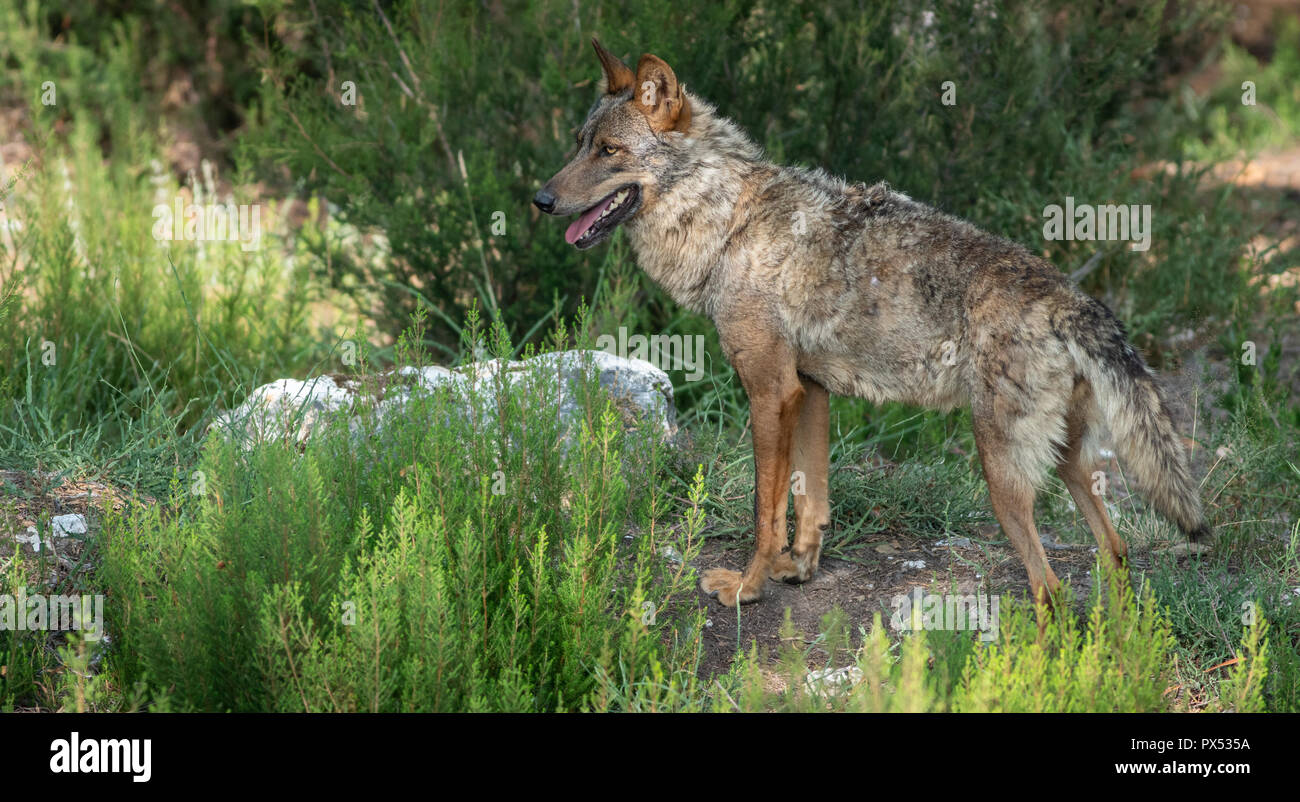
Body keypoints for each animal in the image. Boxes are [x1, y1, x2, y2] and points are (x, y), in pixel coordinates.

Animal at [534, 39, 1211, 608]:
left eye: (608, 152)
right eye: (578, 143)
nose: (540, 200)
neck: (729, 222)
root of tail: (1072, 301)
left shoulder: (770, 392)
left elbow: (763, 512)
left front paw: (748, 587)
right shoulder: (808, 390)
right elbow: (808, 501)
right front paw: (798, 570)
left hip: (1002, 477)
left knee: (1049, 590)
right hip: (1069, 466)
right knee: (1115, 553)